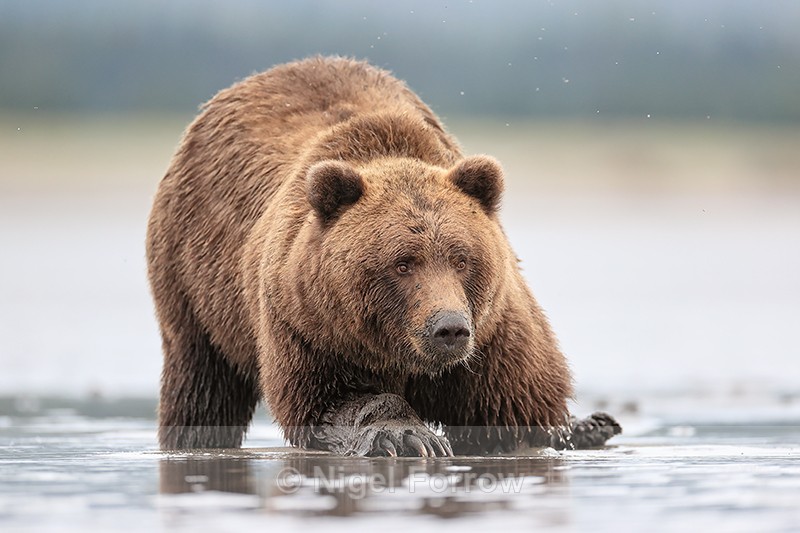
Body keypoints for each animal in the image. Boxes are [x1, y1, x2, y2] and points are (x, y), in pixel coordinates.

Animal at [146, 56, 620, 456]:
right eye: (402, 263)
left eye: (462, 259)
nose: (449, 328)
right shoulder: (309, 324)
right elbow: (329, 398)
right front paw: (409, 436)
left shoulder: (492, 333)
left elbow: (513, 405)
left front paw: (573, 428)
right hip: (194, 283)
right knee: (202, 388)